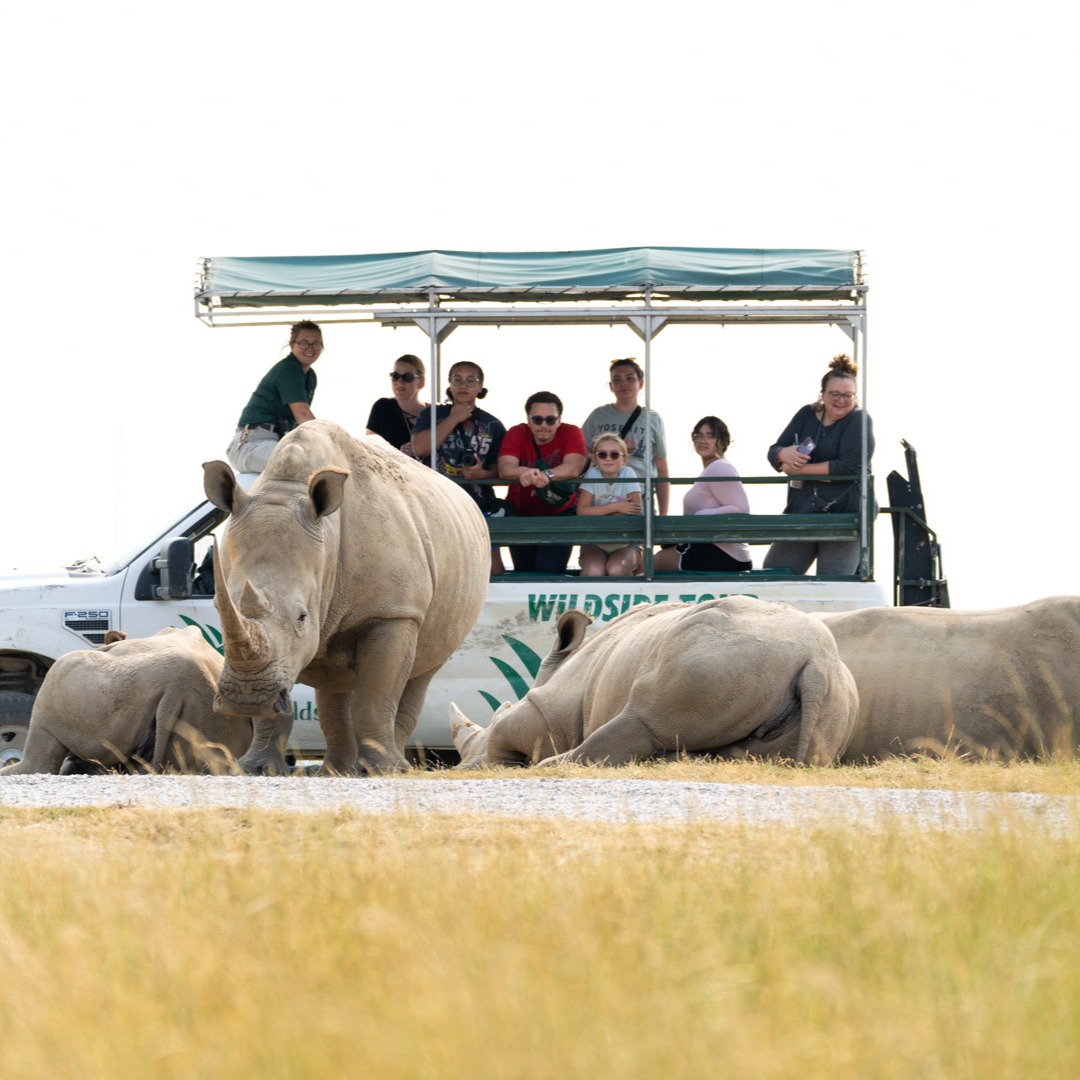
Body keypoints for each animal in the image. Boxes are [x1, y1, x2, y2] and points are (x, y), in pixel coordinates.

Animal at [203, 419, 490, 775]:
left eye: (302, 617)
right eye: (219, 608)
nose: (246, 697)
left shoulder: (392, 612)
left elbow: (375, 697)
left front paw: (382, 770)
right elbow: (277, 708)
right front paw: (256, 768)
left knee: (421, 672)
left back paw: (390, 766)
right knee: (334, 685)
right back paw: (335, 770)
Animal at [450, 597, 859, 767]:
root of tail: (817, 663)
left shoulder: (548, 708)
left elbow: (509, 730)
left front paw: (481, 766)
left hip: (717, 655)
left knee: (644, 717)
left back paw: (550, 766)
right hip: (833, 695)